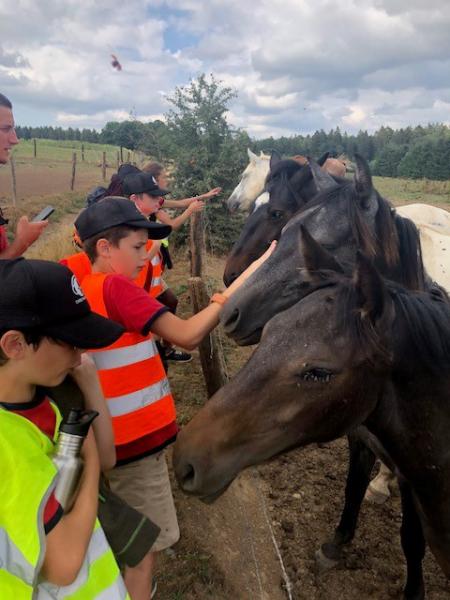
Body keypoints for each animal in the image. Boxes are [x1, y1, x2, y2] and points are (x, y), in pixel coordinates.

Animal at [172, 245, 450, 600]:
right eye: (270, 330)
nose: (185, 461)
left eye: (319, 372)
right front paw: (335, 545)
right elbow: (353, 487)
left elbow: (411, 540)